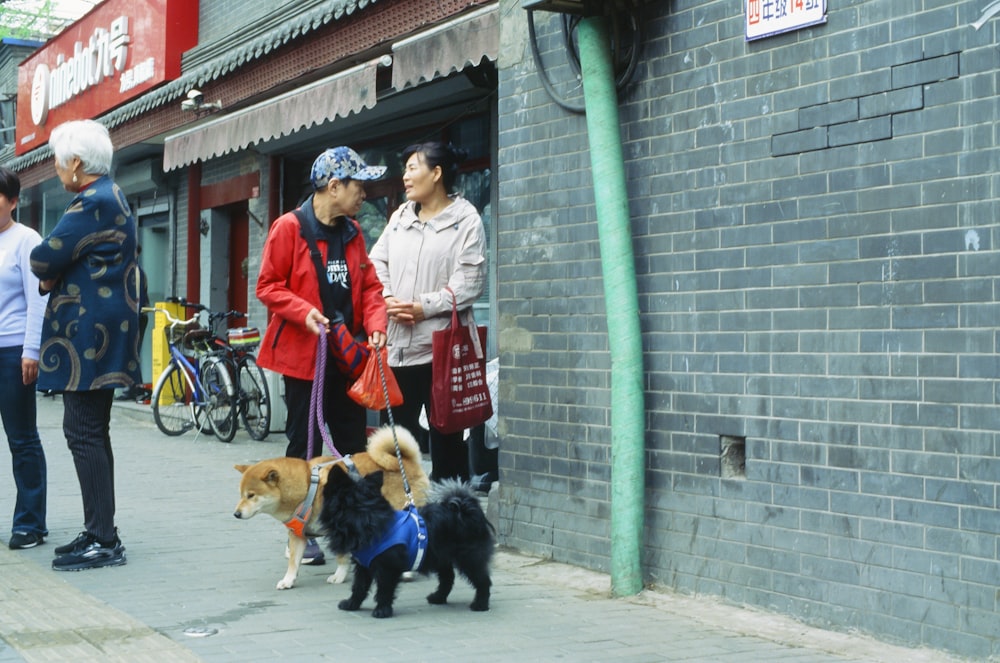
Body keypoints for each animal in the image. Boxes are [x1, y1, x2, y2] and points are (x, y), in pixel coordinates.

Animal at [235, 426, 430, 592]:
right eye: (241, 495)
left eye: (251, 495)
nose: (236, 514)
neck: (308, 488)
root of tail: (405, 461)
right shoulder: (298, 535)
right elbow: (293, 563)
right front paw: (288, 580)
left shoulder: (342, 529)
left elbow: (341, 557)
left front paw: (339, 576)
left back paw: (407, 571)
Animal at [318, 466, 494, 616]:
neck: (365, 516)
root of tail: (465, 507)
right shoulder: (363, 566)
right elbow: (359, 587)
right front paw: (352, 604)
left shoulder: (387, 568)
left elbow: (384, 590)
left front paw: (382, 610)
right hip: (441, 558)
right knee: (448, 579)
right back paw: (438, 598)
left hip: (470, 558)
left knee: (483, 580)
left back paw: (480, 604)